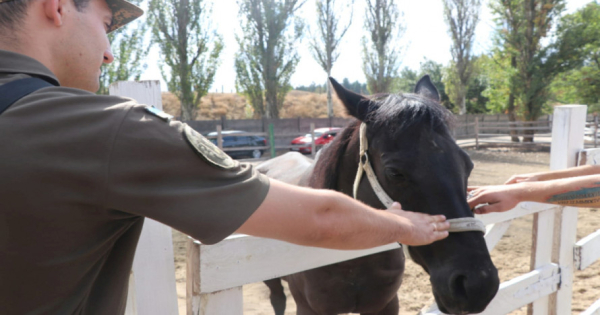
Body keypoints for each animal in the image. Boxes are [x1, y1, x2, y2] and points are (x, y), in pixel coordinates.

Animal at [264, 77, 500, 315]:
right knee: (277, 299)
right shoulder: (308, 308)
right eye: (395, 173)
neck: (352, 261)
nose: (478, 284)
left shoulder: (385, 304)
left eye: (468, 165)